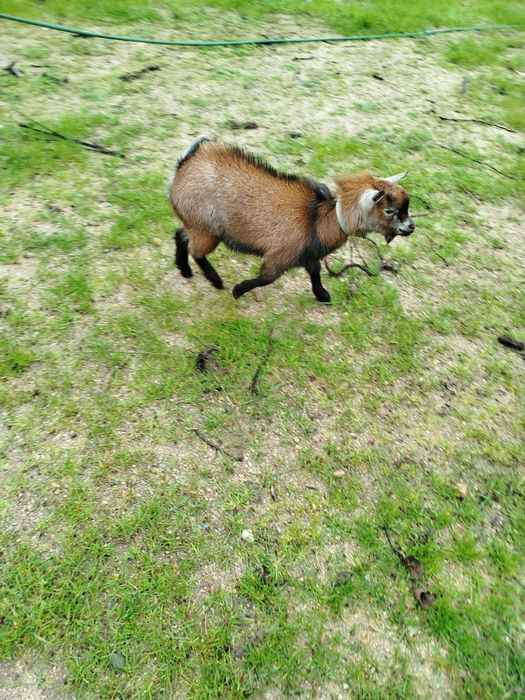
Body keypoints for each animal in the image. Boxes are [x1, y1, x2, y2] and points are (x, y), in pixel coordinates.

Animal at [169, 136, 414, 302]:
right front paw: (238, 290)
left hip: (196, 225)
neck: (318, 220)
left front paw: (323, 295)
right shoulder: (280, 256)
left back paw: (185, 271)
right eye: (390, 211)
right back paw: (216, 281)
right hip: (207, 229)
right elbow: (266, 278)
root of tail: (184, 164)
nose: (411, 227)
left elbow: (315, 272)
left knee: (180, 234)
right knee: (196, 250)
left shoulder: (308, 254)